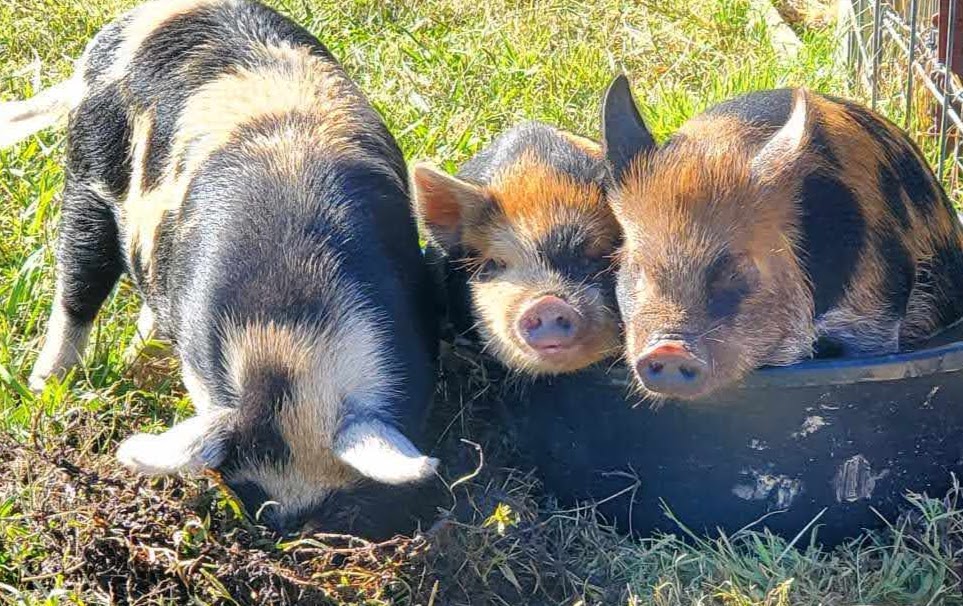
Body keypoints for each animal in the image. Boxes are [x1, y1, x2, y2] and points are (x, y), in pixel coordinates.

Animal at [3, 0, 440, 536]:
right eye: (241, 484)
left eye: (333, 500)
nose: (281, 533)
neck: (290, 331)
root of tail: (125, 27)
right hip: (88, 172)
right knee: (78, 283)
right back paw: (47, 387)